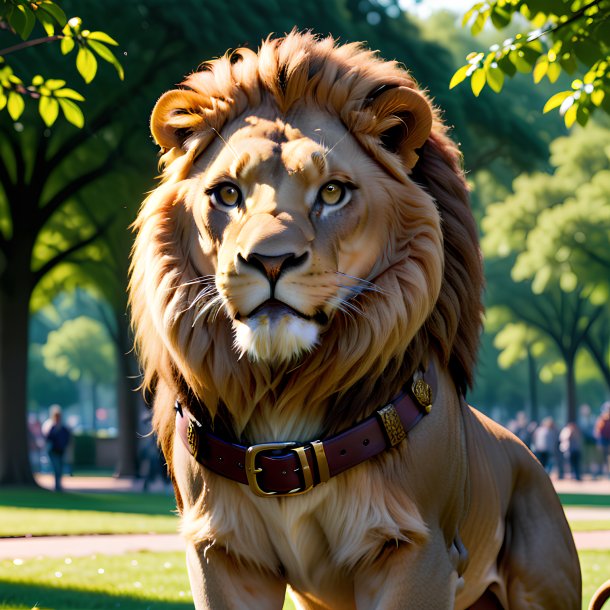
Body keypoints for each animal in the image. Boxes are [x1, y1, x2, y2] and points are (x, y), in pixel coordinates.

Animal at [129, 30, 580, 604]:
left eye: (332, 192)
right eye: (227, 193)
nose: (269, 260)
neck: (283, 396)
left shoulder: (417, 551)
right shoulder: (222, 552)